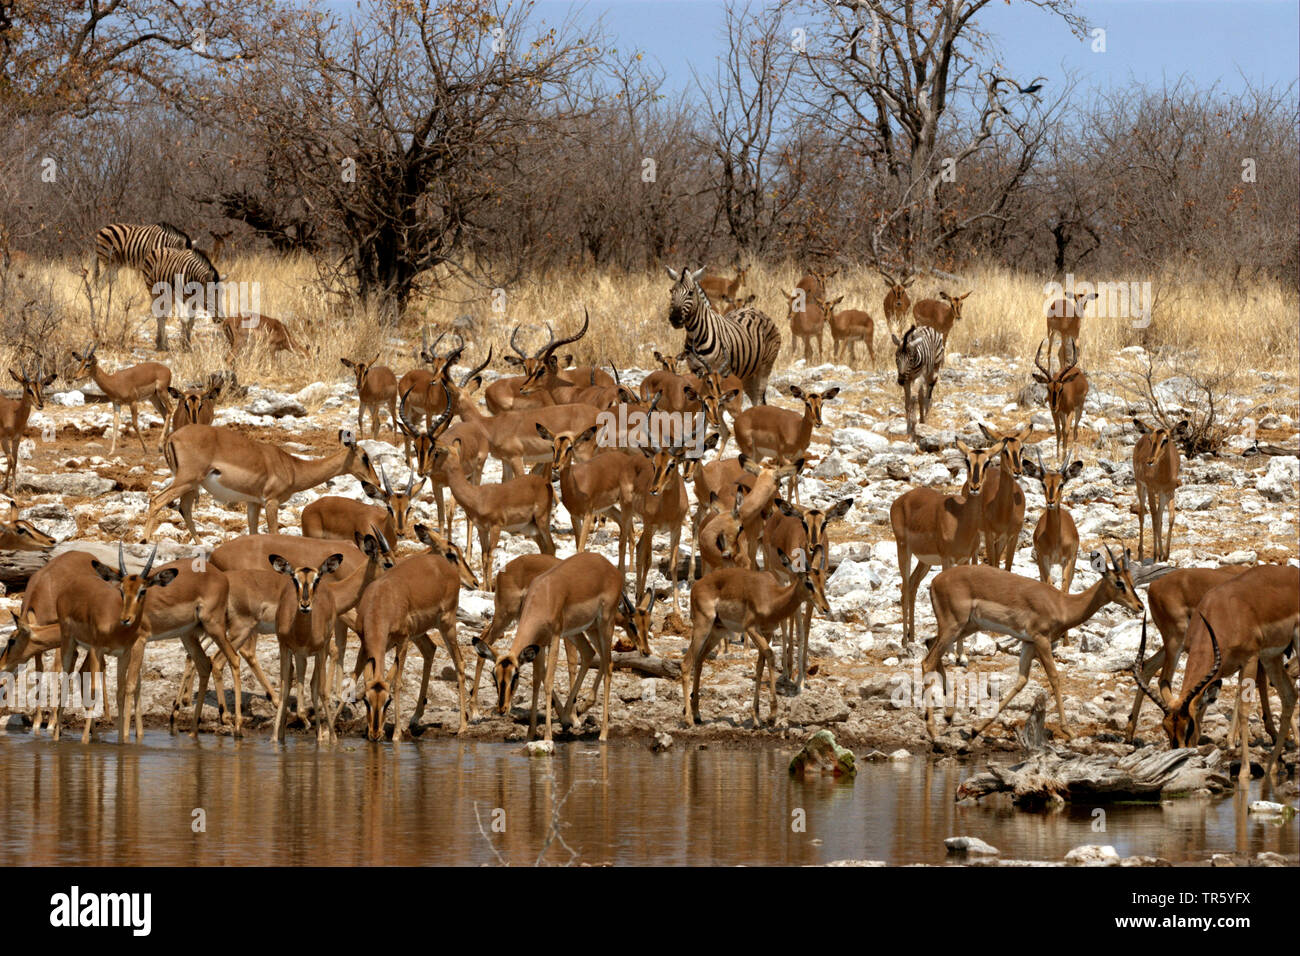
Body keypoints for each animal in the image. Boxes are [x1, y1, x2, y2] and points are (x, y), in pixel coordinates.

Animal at [665, 265, 774, 408]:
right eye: (671, 291)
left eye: (690, 293)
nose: (675, 318)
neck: (696, 335)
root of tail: (754, 309)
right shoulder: (694, 369)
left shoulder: (719, 370)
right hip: (747, 373)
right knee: (755, 398)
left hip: (765, 367)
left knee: (760, 398)